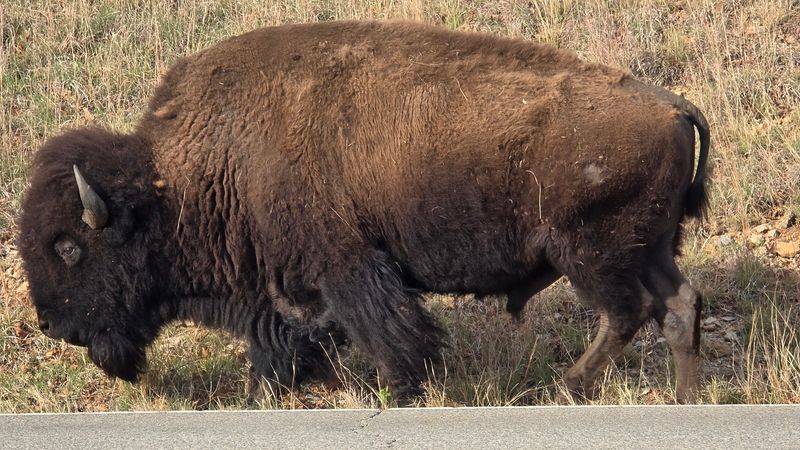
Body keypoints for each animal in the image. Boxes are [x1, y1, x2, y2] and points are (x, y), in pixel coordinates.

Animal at [18, 20, 709, 403]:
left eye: (69, 247)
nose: (51, 325)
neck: (182, 176)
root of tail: (672, 105)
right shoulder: (287, 285)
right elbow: (289, 335)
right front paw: (274, 388)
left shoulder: (348, 266)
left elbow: (387, 330)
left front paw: (402, 389)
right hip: (648, 249)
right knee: (677, 306)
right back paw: (684, 397)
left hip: (593, 254)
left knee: (629, 313)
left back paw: (569, 386)